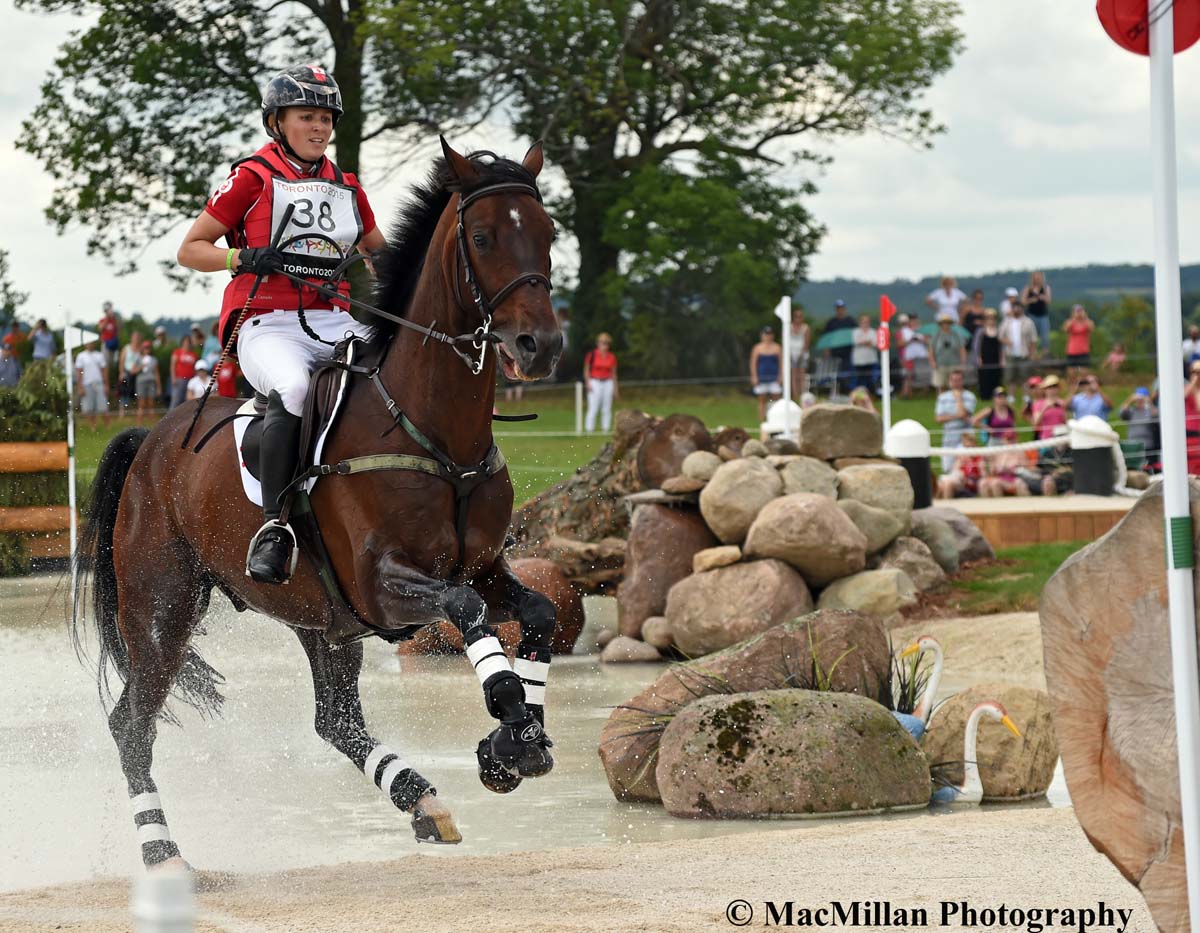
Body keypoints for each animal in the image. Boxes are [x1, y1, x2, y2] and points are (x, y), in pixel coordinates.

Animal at [72, 141, 564, 868]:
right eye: (482, 238)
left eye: (548, 234)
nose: (542, 346)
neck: (434, 430)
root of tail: (149, 439)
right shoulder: (384, 584)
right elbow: (465, 612)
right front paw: (508, 723)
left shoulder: (481, 569)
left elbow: (538, 612)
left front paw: (516, 740)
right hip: (164, 608)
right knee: (132, 722)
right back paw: (163, 852)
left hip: (321, 618)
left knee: (335, 719)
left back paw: (423, 800)